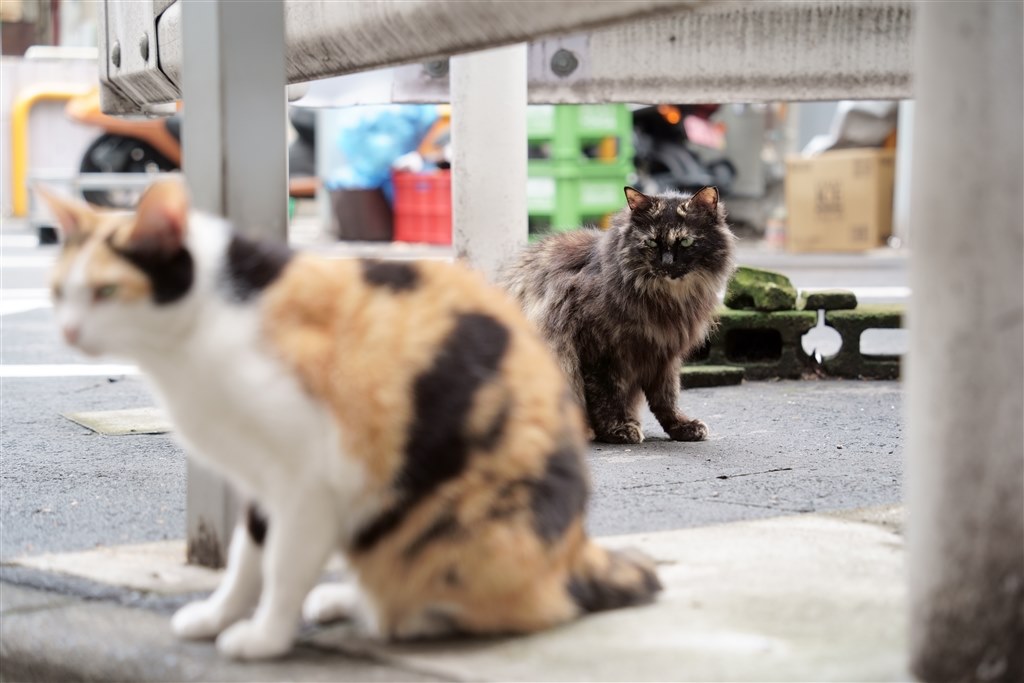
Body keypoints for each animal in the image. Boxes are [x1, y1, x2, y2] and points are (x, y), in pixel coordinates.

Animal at [39, 183, 659, 663]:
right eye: (58, 292)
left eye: (107, 290)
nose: (66, 331)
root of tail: (576, 548)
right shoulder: (263, 481)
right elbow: (247, 558)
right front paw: (219, 617)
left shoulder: (309, 479)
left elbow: (284, 564)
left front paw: (263, 638)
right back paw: (341, 600)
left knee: (467, 606)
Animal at [503, 185, 737, 444]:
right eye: (651, 242)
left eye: (685, 242)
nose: (666, 264)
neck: (667, 299)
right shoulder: (599, 351)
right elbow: (606, 396)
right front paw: (616, 429)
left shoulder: (663, 354)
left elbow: (666, 398)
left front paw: (680, 426)